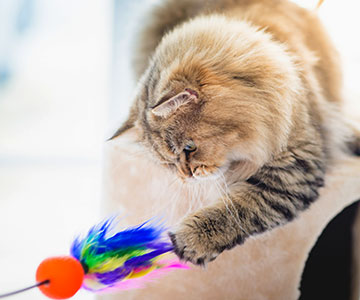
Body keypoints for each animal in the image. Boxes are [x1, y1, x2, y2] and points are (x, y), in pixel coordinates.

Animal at [109, 0, 360, 264]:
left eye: (189, 148)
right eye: (168, 163)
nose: (186, 176)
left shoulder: (293, 169)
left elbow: (237, 210)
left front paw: (187, 241)